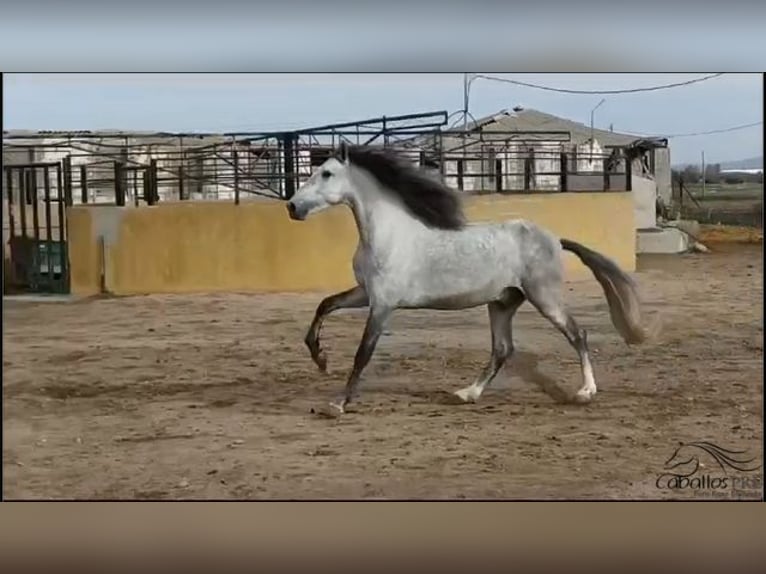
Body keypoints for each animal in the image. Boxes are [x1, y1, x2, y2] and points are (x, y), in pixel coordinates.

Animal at [286, 143, 648, 414]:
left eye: (327, 173)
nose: (292, 206)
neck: (388, 235)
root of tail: (555, 239)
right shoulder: (366, 293)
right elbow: (325, 304)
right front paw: (320, 358)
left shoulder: (383, 304)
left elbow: (363, 352)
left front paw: (337, 403)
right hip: (503, 302)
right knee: (503, 349)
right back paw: (466, 393)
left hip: (544, 297)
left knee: (577, 334)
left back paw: (585, 392)